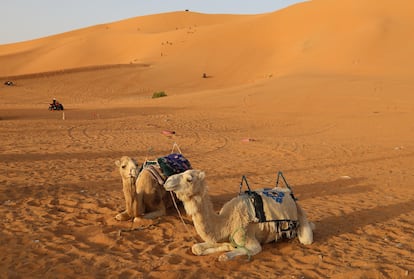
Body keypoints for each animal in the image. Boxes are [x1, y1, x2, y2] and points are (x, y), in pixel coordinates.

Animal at [164, 170, 314, 264]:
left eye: (189, 179)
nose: (167, 181)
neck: (226, 221)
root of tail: (290, 194)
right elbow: (196, 248)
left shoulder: (248, 238)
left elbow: (225, 256)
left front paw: (228, 251)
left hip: (301, 219)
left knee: (307, 237)